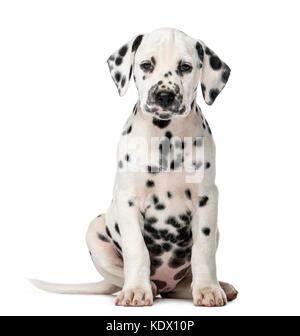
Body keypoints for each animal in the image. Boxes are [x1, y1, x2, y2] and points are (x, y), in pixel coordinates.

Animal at [32, 28, 238, 308]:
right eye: (146, 65)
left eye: (185, 67)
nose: (164, 95)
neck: (165, 138)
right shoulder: (127, 200)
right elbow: (136, 250)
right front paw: (136, 291)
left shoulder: (206, 199)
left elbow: (203, 251)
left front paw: (208, 289)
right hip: (94, 230)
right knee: (123, 276)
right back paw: (143, 286)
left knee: (181, 284)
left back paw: (215, 286)